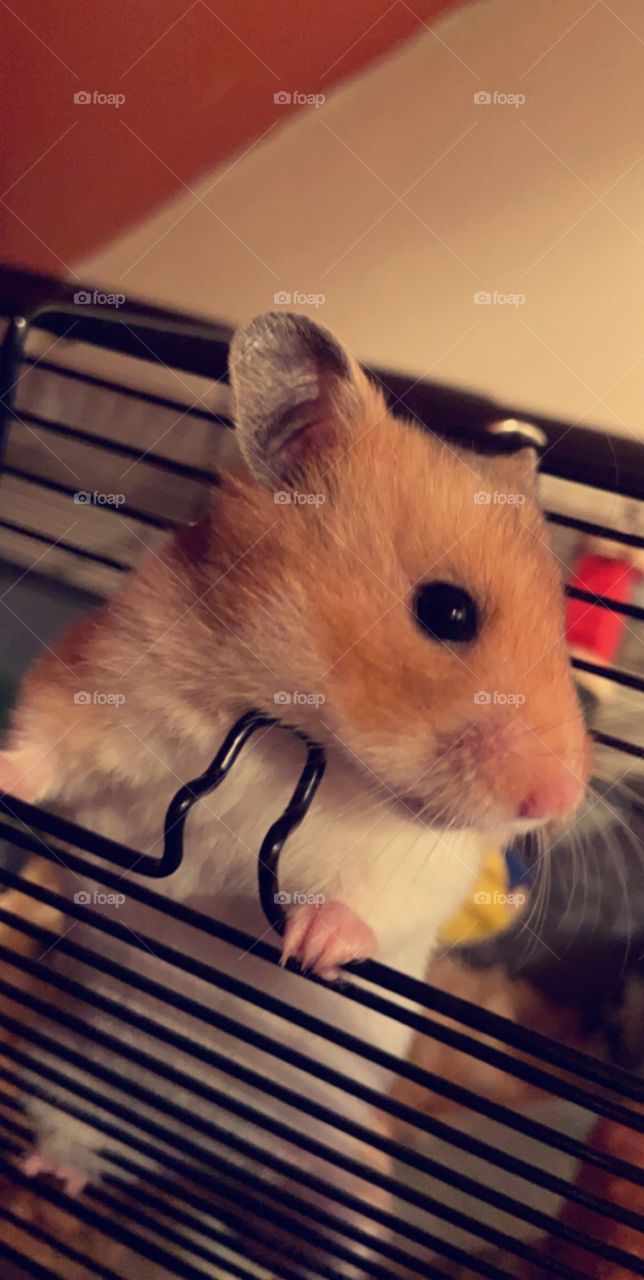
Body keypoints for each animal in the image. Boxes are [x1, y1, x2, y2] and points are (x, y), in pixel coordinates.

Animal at [0, 313, 591, 1278]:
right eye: (448, 612)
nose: (556, 798)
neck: (293, 732)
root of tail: (208, 1154)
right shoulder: (104, 680)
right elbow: (43, 748)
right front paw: (2, 775)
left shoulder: (415, 861)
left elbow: (369, 901)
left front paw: (308, 947)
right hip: (65, 1072)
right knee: (72, 1138)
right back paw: (52, 1176)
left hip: (346, 1161)